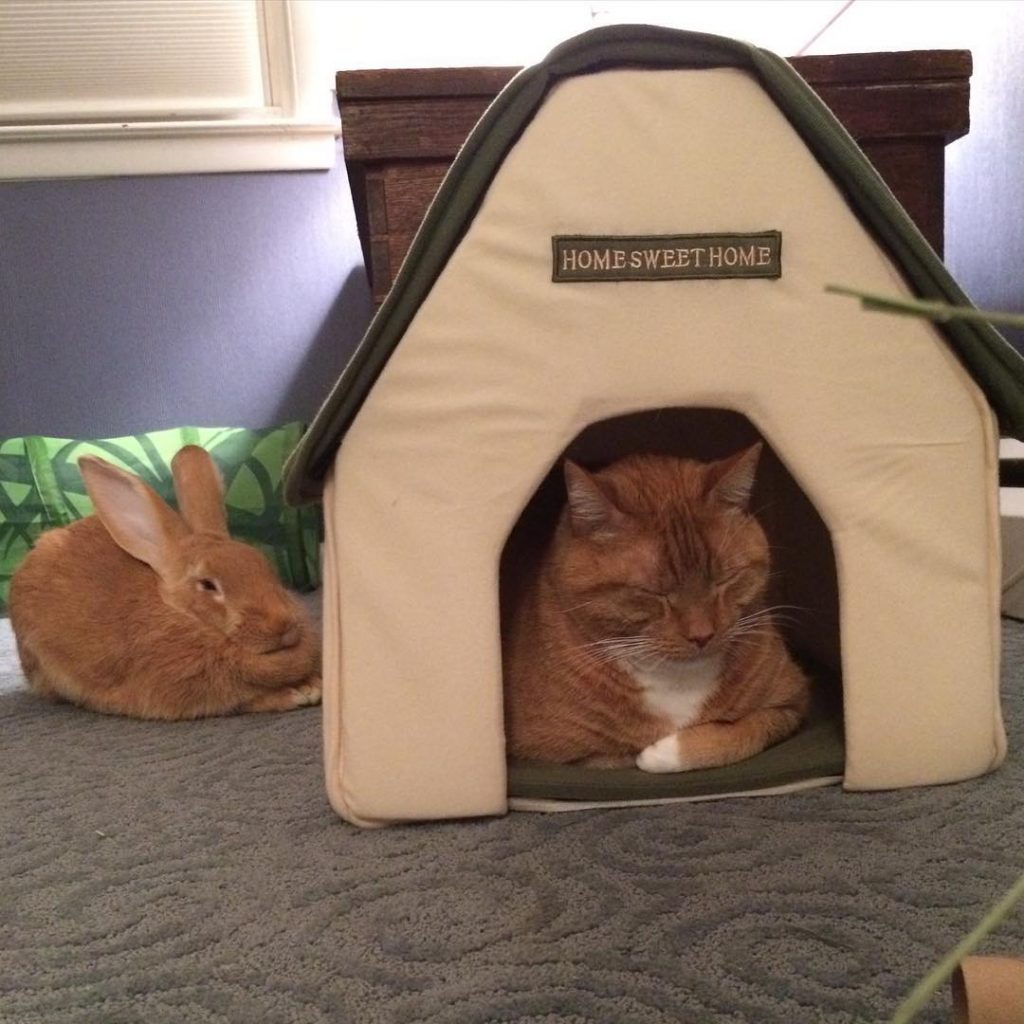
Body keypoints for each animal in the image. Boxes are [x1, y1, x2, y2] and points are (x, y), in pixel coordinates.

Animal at [8, 446, 319, 720]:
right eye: (208, 585)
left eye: (262, 563)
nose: (284, 624)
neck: (186, 618)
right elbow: (247, 701)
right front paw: (298, 693)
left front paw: (313, 684)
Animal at [501, 444, 806, 770]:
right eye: (654, 593)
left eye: (724, 580)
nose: (702, 636)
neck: (676, 680)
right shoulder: (556, 755)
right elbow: (612, 757)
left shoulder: (791, 702)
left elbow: (744, 733)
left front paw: (664, 752)